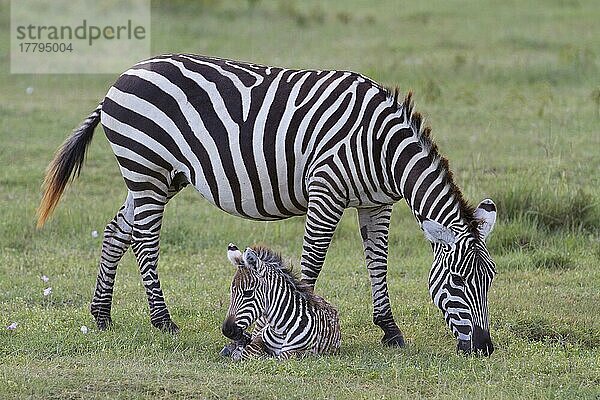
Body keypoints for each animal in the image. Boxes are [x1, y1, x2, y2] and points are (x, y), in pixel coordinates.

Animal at [36, 54, 496, 356]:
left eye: (489, 282)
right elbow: (312, 262)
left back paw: (101, 315)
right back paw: (163, 322)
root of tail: (121, 77)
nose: (485, 348)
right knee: (144, 241)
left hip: (158, 176)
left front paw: (390, 330)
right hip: (147, 166)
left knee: (117, 230)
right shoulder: (325, 191)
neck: (381, 147)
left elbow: (377, 264)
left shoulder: (377, 204)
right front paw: (309, 327)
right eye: (458, 284)